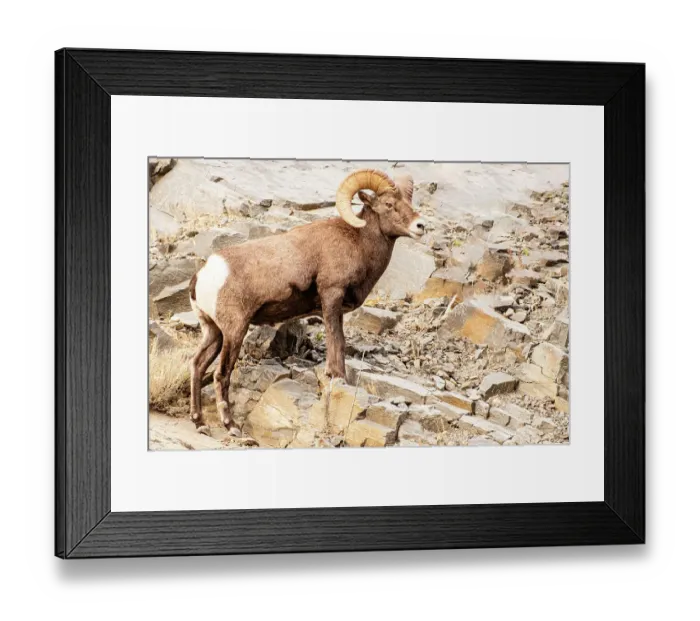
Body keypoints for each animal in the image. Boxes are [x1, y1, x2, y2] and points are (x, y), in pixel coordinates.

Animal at [188, 169, 426, 435]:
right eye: (388, 204)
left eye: (409, 203)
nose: (420, 226)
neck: (358, 241)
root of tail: (204, 275)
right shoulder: (331, 296)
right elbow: (336, 340)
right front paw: (337, 376)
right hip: (234, 331)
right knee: (221, 374)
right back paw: (231, 426)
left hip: (214, 332)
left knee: (197, 366)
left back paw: (199, 422)